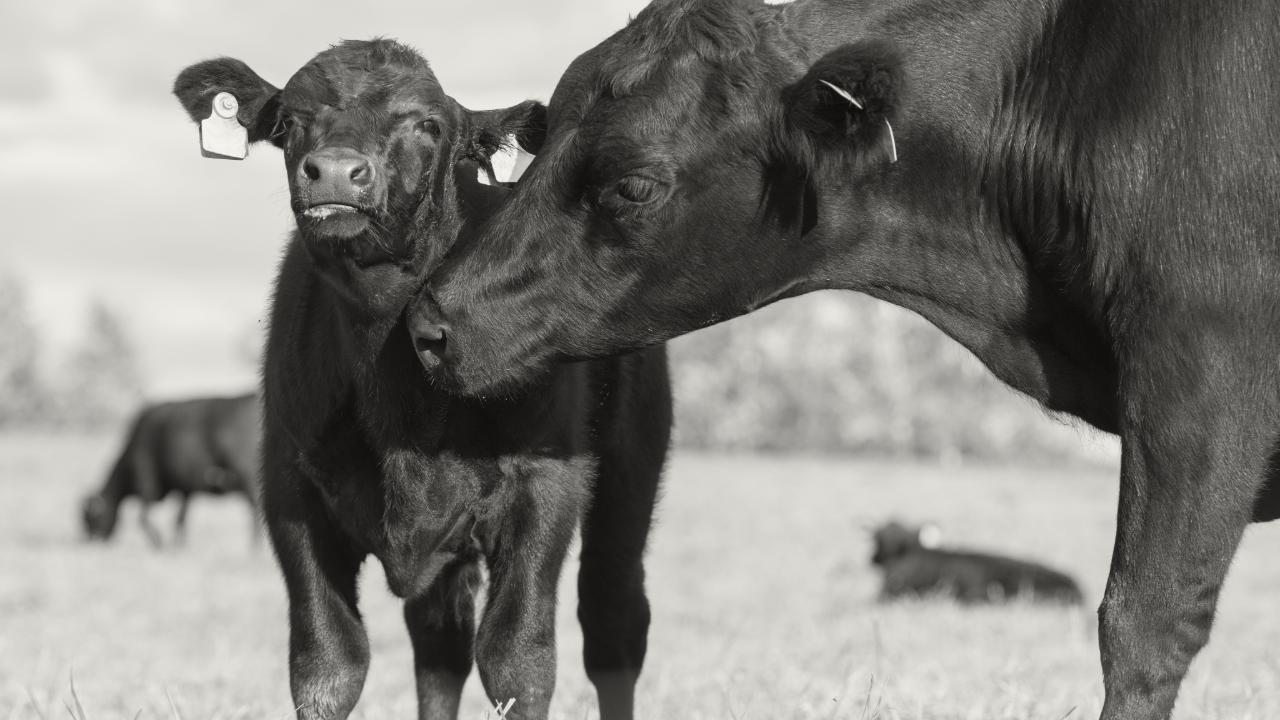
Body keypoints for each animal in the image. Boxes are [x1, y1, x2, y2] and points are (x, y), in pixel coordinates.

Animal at [82, 392, 261, 547]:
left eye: (89, 519)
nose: (90, 542)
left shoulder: (147, 484)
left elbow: (143, 518)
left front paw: (159, 542)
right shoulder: (185, 489)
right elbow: (180, 518)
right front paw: (179, 545)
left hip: (248, 479)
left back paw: (254, 549)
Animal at [172, 39, 671, 720]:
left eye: (428, 125)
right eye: (289, 121)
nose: (336, 172)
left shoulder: (545, 486)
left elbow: (518, 662)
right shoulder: (289, 487)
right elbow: (327, 664)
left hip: (630, 460)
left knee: (612, 621)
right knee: (440, 648)